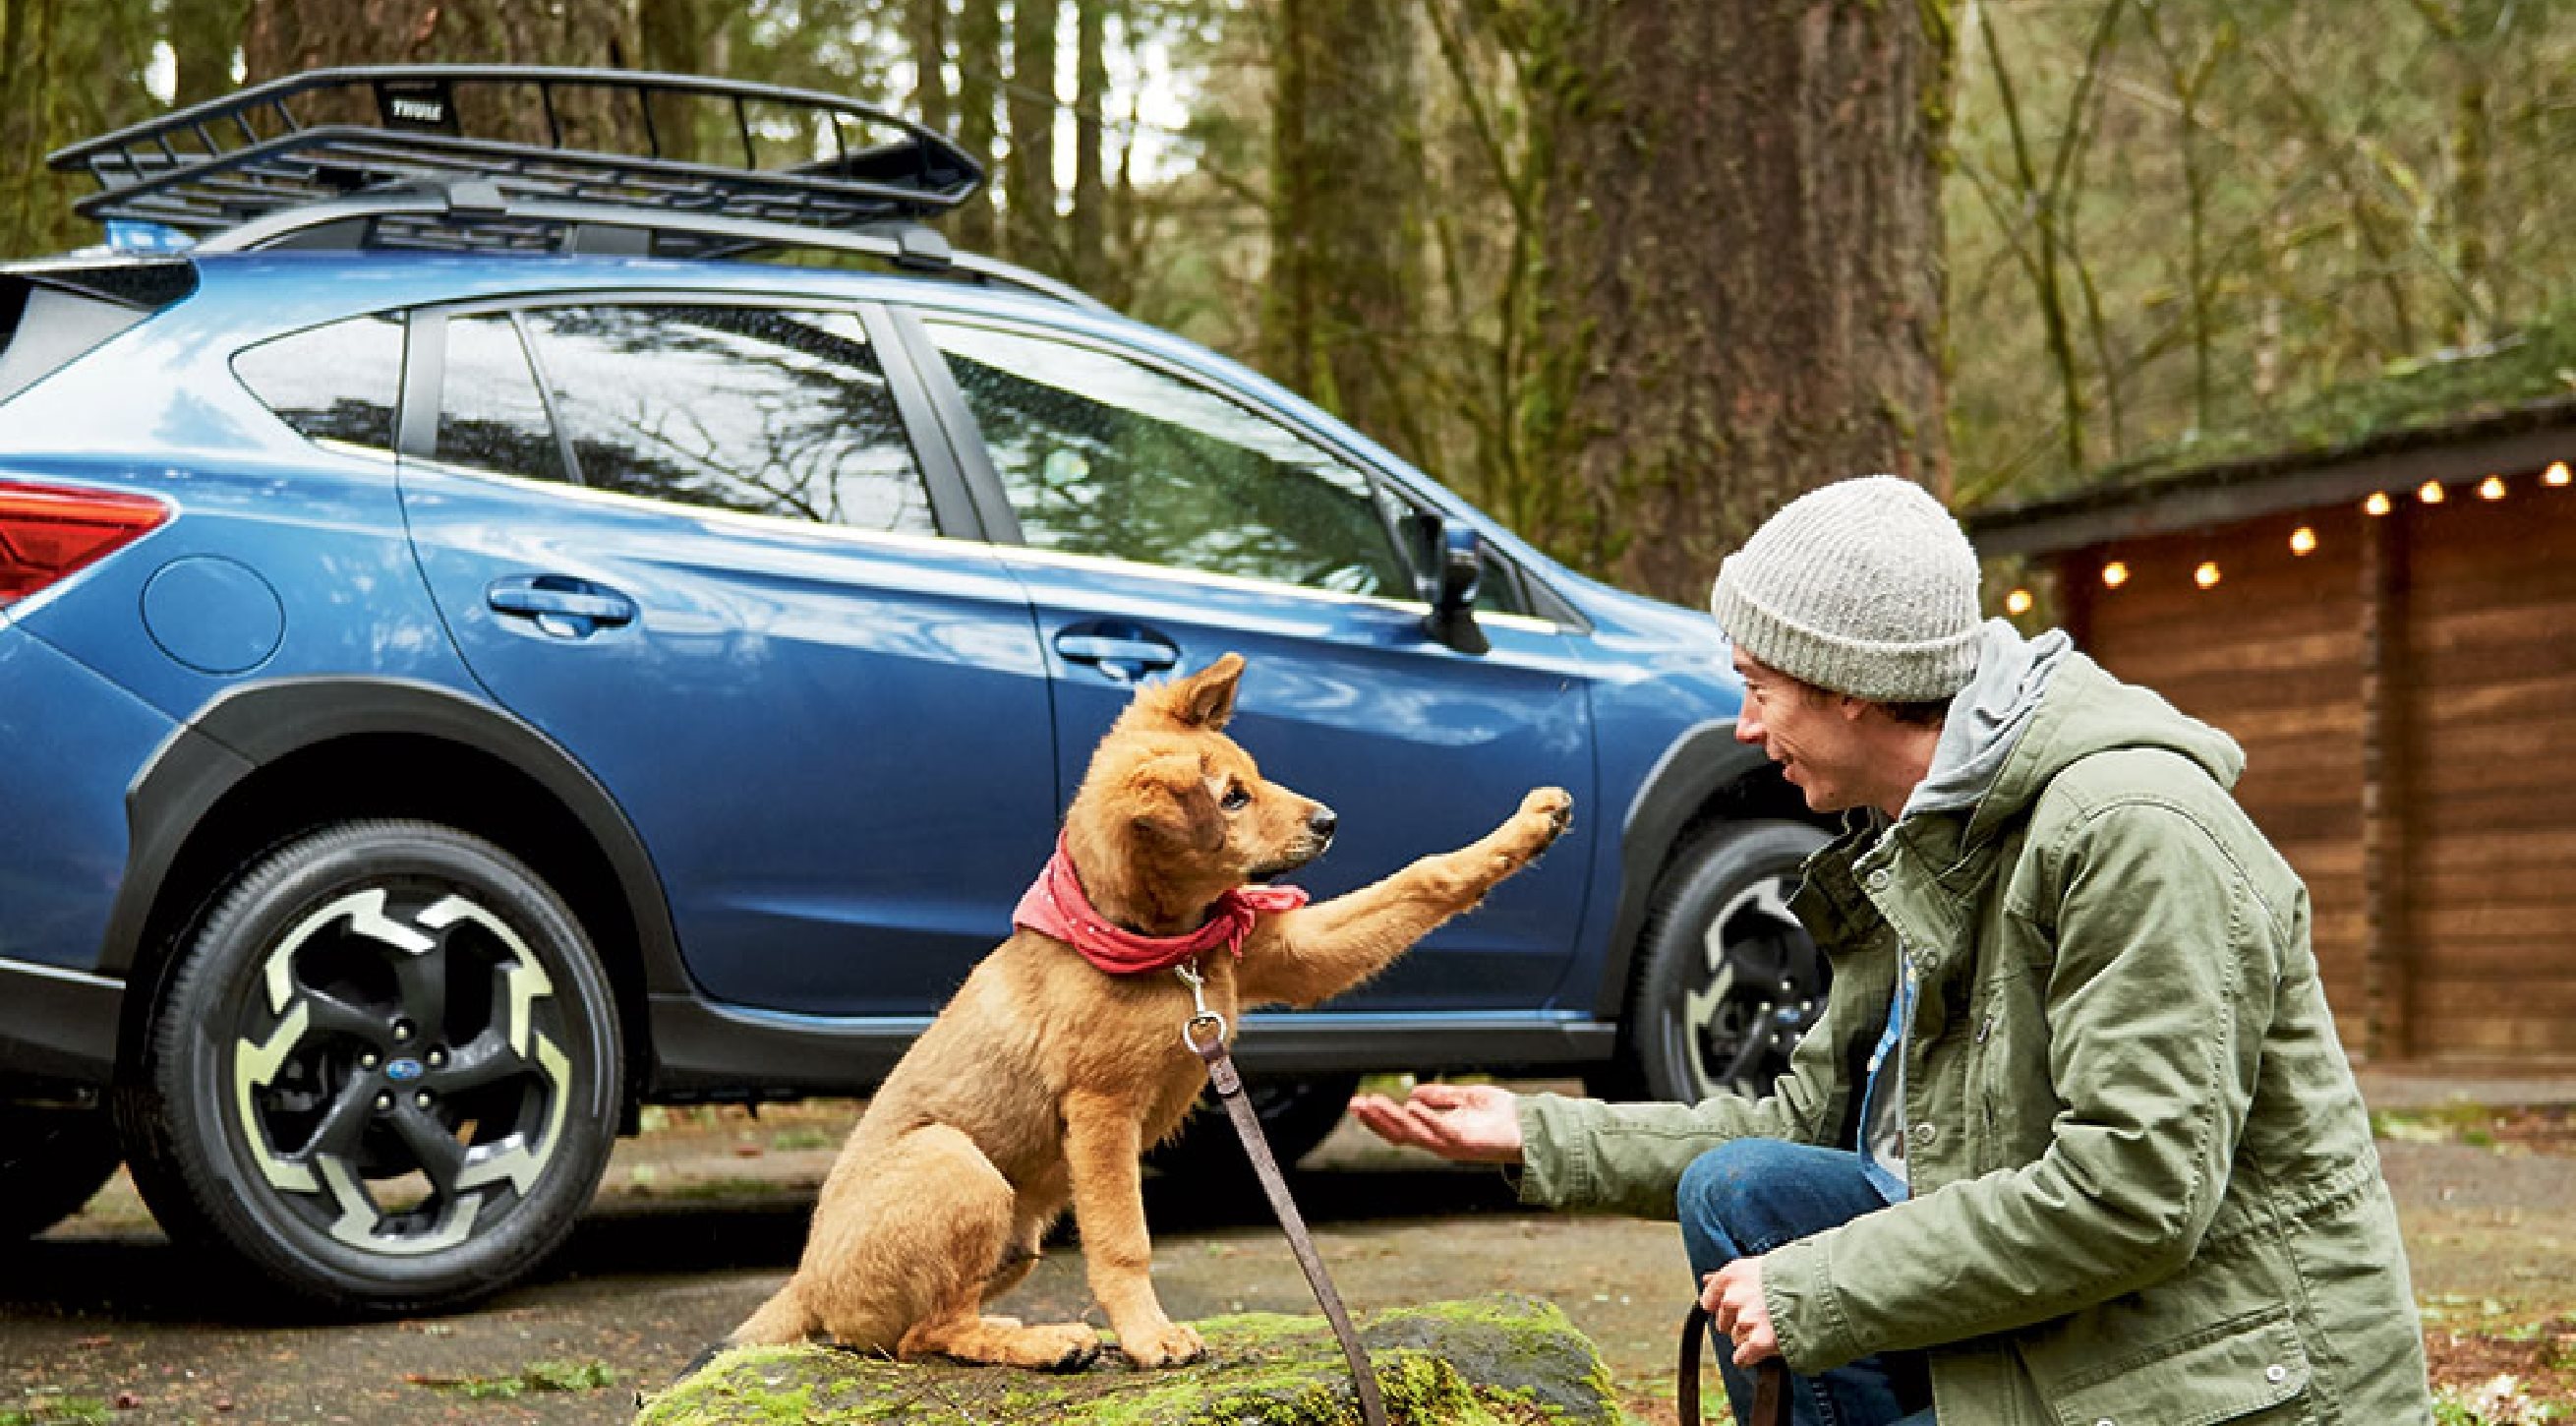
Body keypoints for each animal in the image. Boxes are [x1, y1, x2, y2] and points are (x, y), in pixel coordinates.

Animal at [726, 652, 1565, 1371]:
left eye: (1253, 777)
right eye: (1230, 798)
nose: (1329, 821)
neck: (1171, 948)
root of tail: (804, 1283)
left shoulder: (1289, 954)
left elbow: (1425, 878)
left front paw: (1531, 824)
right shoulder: (1102, 1113)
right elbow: (1123, 1240)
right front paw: (1148, 1336)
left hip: (1015, 1234)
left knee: (925, 1326)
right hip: (954, 1162)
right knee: (924, 1333)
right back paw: (1043, 1342)